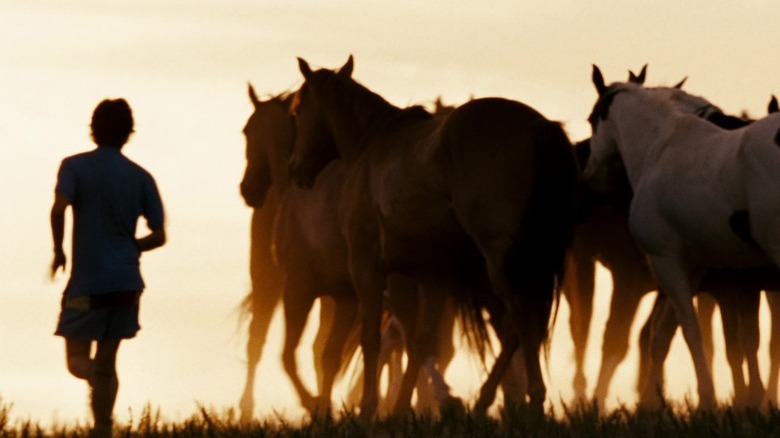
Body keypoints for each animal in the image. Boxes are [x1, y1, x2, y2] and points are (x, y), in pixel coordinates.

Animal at [286, 56, 580, 420]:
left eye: (297, 110)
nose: (295, 168)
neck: (372, 148)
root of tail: (537, 126)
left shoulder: (367, 267)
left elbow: (372, 339)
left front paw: (368, 410)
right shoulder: (432, 275)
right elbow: (421, 341)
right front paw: (399, 410)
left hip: (500, 265)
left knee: (520, 320)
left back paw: (532, 400)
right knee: (516, 328)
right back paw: (484, 401)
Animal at [588, 64, 780, 408]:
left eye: (591, 119)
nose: (590, 174)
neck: (660, 147)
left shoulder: (669, 264)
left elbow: (691, 333)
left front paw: (707, 401)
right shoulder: (696, 271)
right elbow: (663, 335)